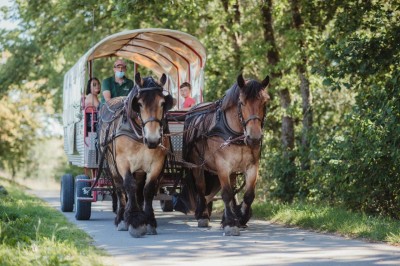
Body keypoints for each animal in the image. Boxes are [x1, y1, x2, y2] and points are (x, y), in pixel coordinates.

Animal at [98, 72, 173, 237]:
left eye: (163, 103)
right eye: (139, 104)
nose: (153, 139)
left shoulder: (157, 163)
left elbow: (147, 190)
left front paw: (149, 220)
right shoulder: (122, 161)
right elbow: (129, 185)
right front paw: (134, 220)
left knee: (138, 188)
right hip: (111, 164)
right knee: (120, 188)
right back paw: (121, 218)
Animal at [184, 72, 270, 235]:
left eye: (264, 102)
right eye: (242, 103)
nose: (254, 138)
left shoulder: (252, 166)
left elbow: (248, 195)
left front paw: (241, 218)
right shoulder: (222, 166)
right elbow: (226, 194)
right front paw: (230, 223)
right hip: (197, 165)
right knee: (201, 188)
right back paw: (203, 215)